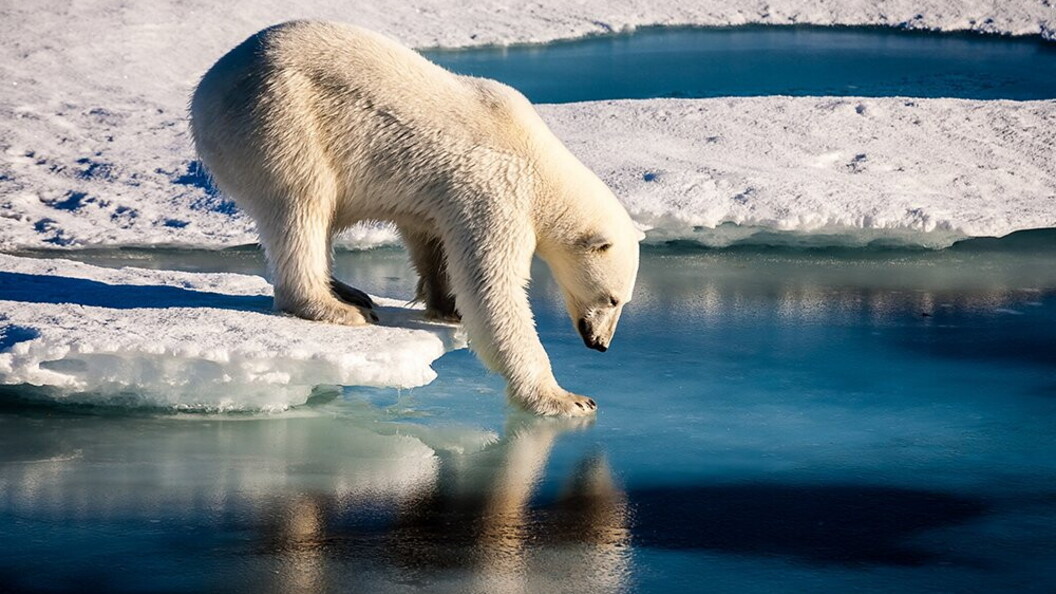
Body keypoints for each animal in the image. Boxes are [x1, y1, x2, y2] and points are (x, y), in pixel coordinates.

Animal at [190, 21, 641, 416]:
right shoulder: (497, 191)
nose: (600, 344)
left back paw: (349, 291)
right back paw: (335, 307)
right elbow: (493, 288)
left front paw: (446, 305)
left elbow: (431, 239)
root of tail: (207, 87)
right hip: (280, 118)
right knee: (302, 204)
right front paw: (567, 399)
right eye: (612, 299)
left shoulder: (443, 196)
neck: (538, 160)